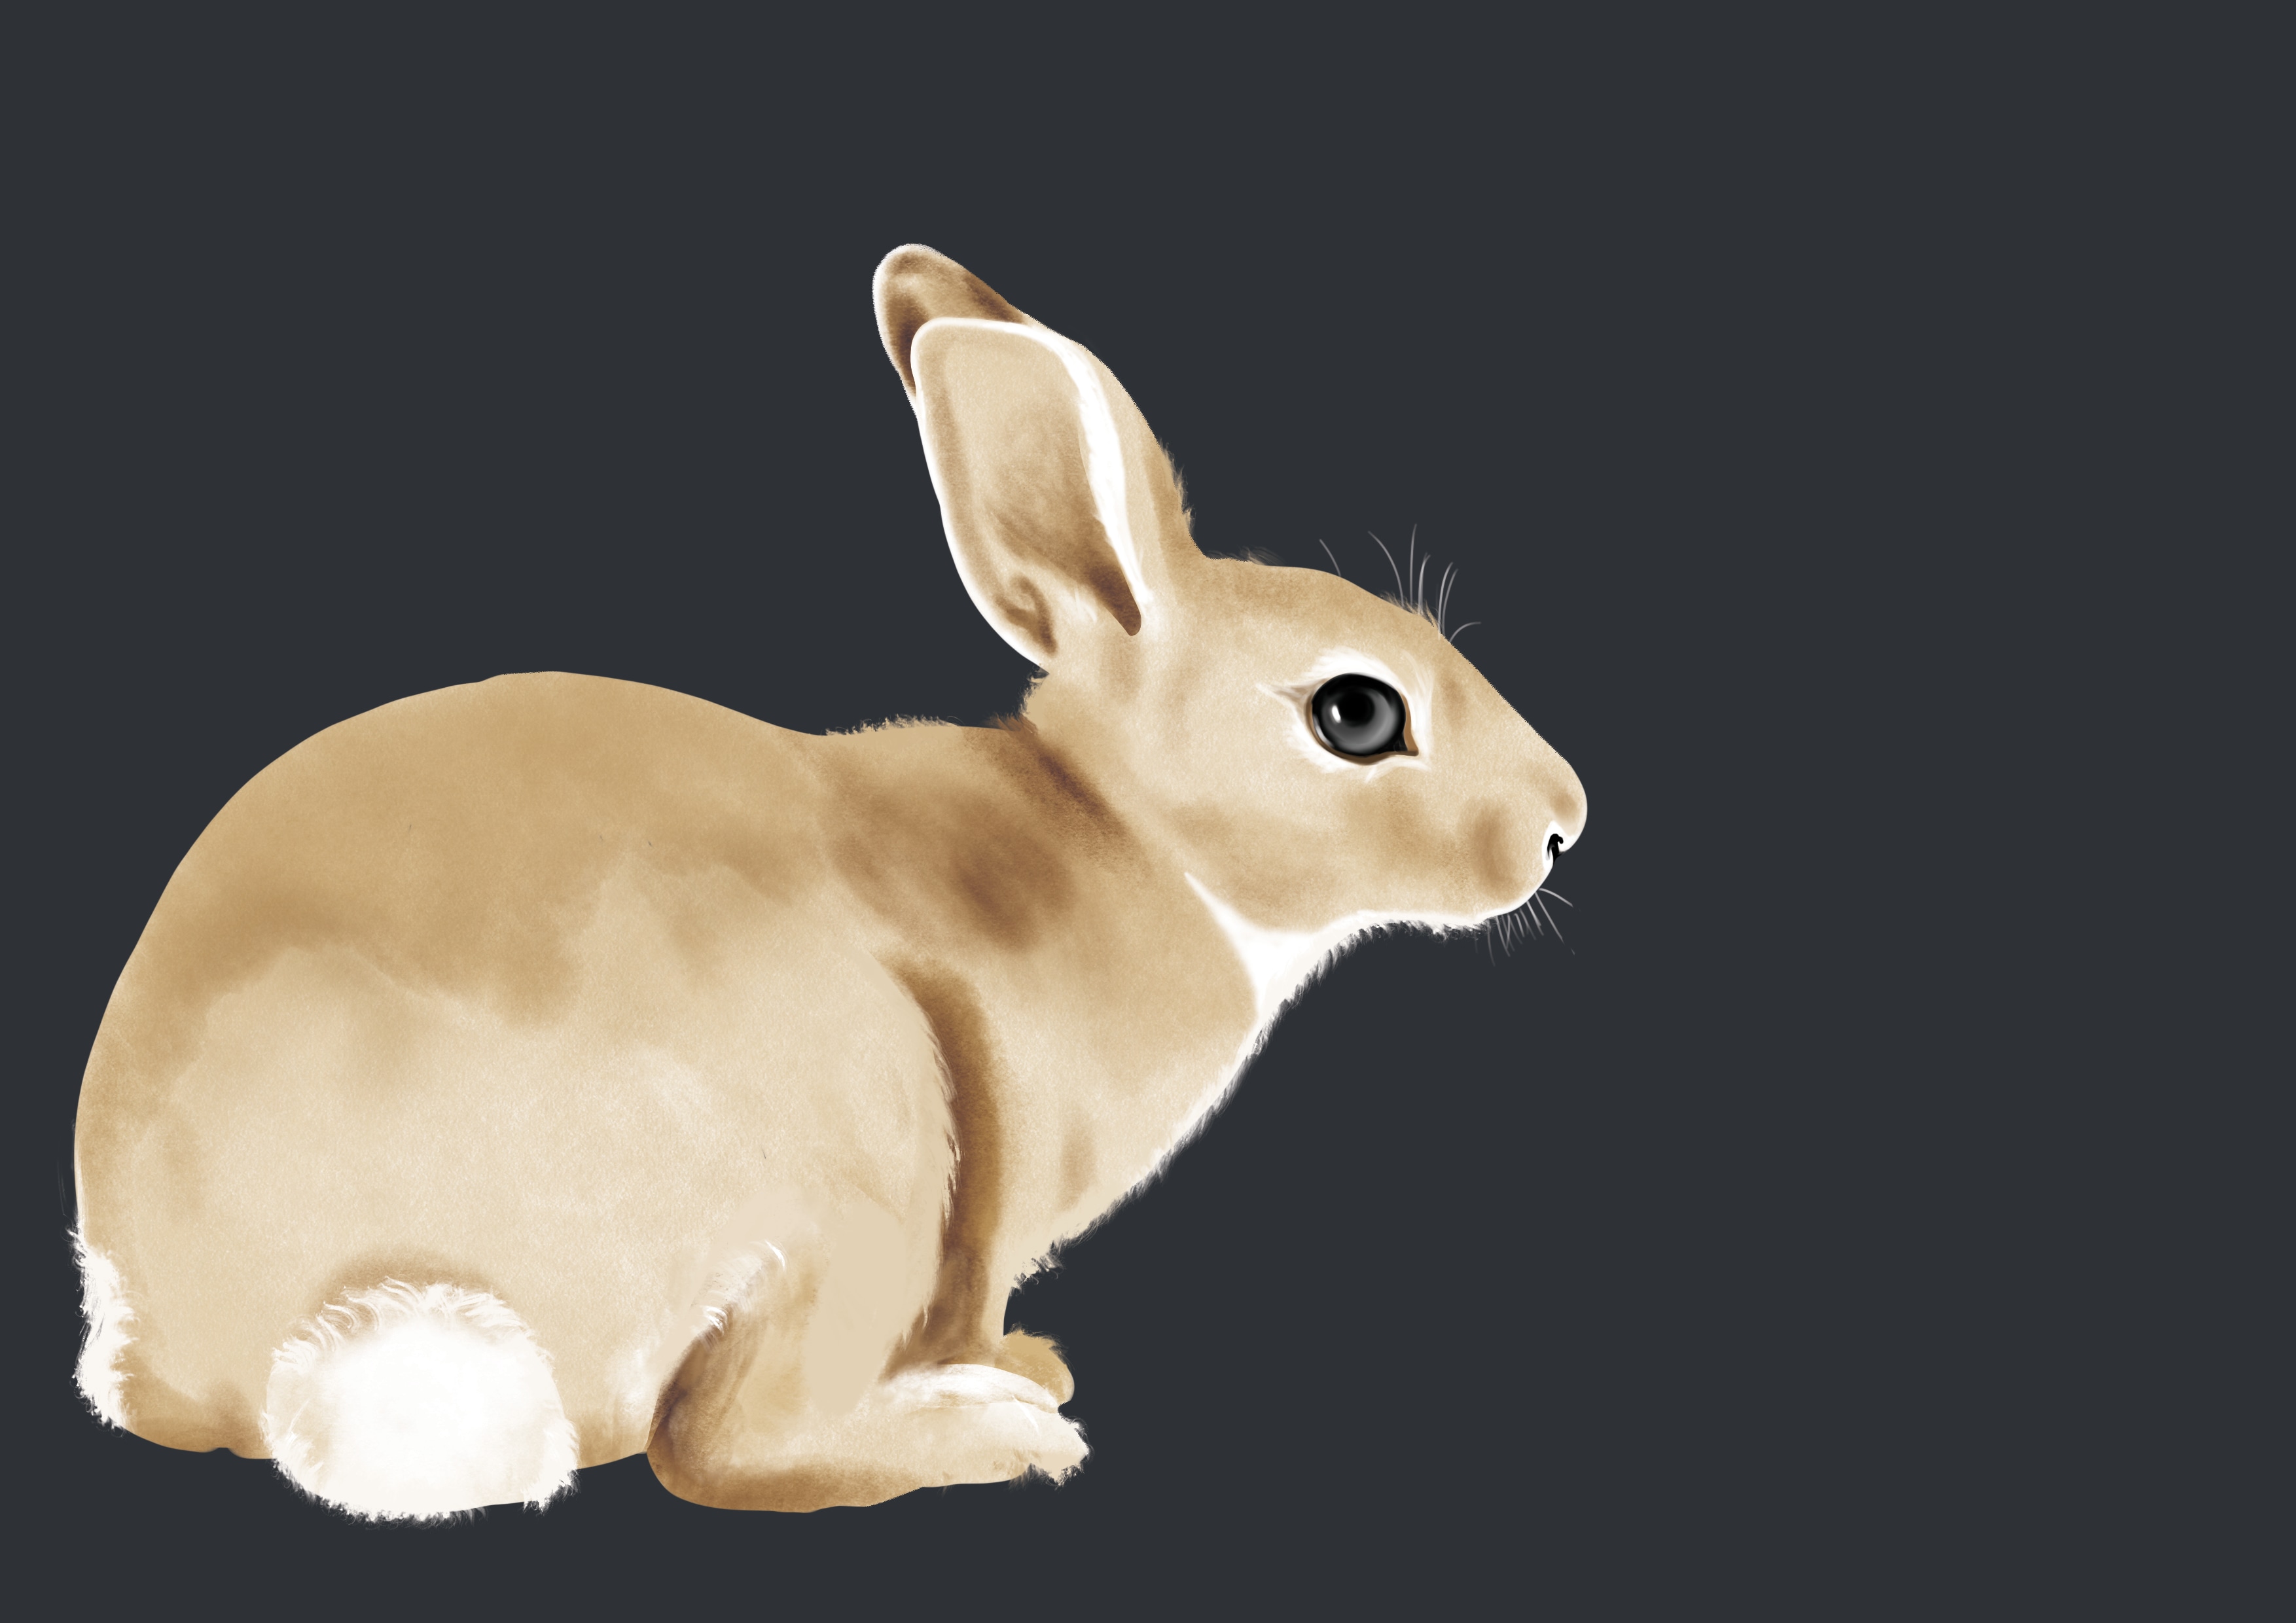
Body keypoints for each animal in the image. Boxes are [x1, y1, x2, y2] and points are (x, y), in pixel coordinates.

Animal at [70, 244, 1588, 1518]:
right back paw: (994, 1435)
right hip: (849, 1148)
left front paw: (1032, 1355)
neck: (1121, 827)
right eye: (1356, 716)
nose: (1564, 823)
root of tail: (206, 1355)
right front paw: (1015, 1375)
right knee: (719, 1450)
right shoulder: (977, 1174)